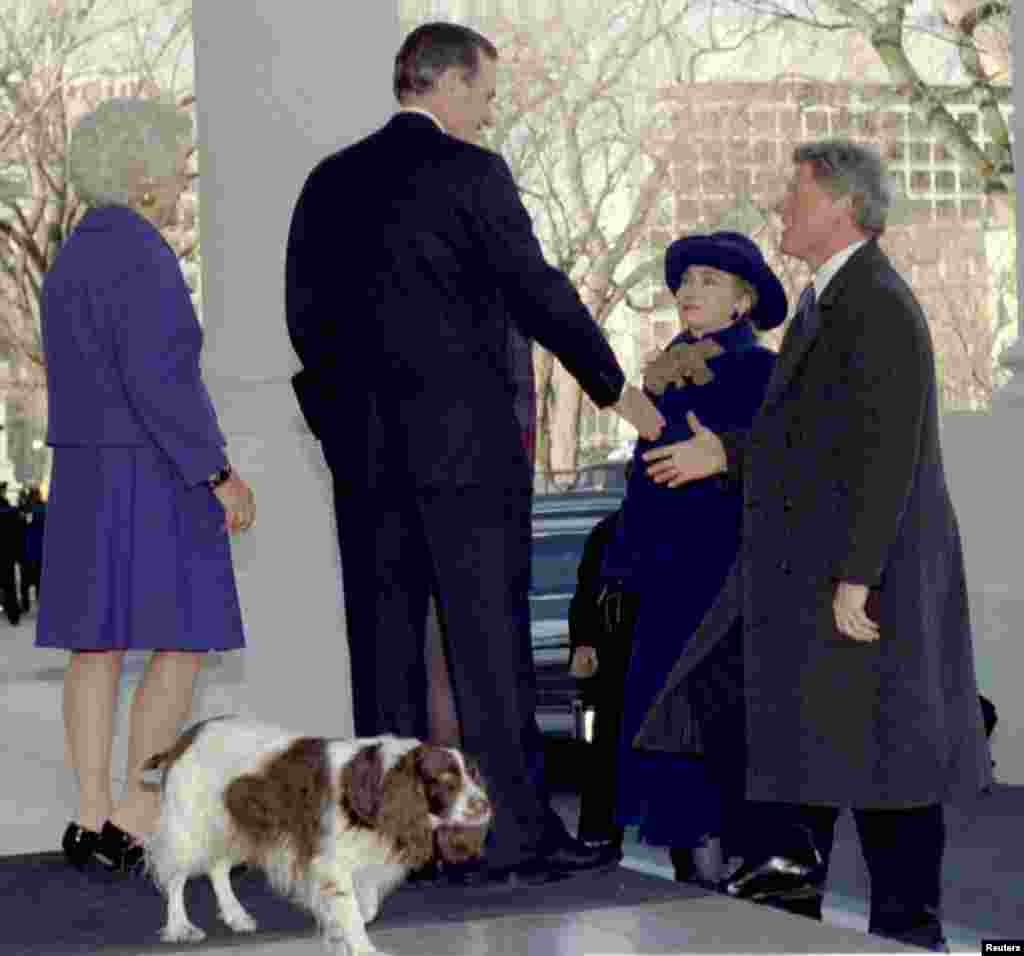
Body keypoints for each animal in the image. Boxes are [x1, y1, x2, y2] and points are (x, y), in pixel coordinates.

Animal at [143, 720, 491, 956]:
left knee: (217, 868)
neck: (380, 783)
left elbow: (364, 908)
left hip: (232, 825)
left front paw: (339, 935)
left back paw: (236, 916)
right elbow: (350, 909)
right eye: (445, 779)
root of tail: (187, 737)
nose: (485, 805)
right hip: (190, 827)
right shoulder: (331, 861)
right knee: (176, 878)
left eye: (473, 776)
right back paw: (180, 927)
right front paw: (362, 948)